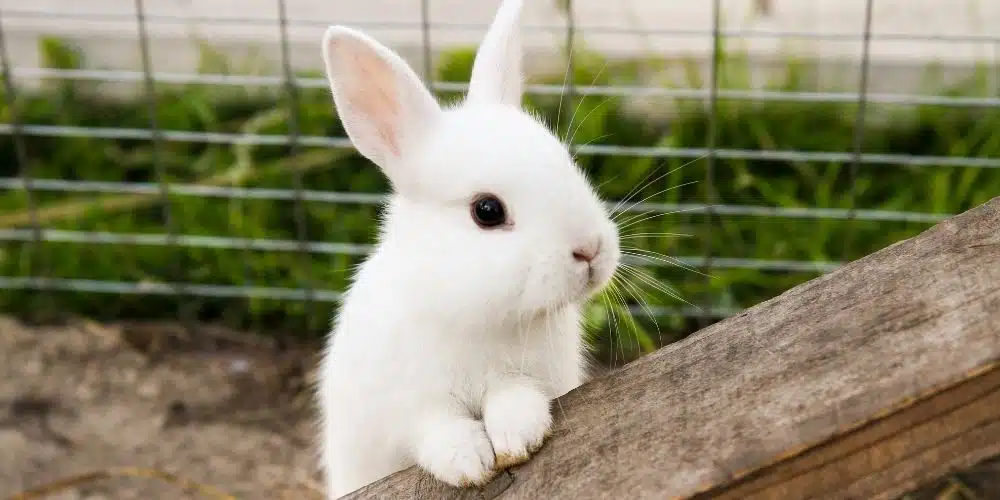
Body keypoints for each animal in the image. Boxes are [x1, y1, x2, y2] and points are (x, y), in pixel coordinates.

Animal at [316, 0, 621, 497]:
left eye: (567, 162)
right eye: (487, 210)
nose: (590, 250)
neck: (478, 316)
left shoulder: (532, 377)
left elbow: (515, 397)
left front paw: (518, 436)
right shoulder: (407, 407)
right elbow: (436, 430)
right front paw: (469, 462)